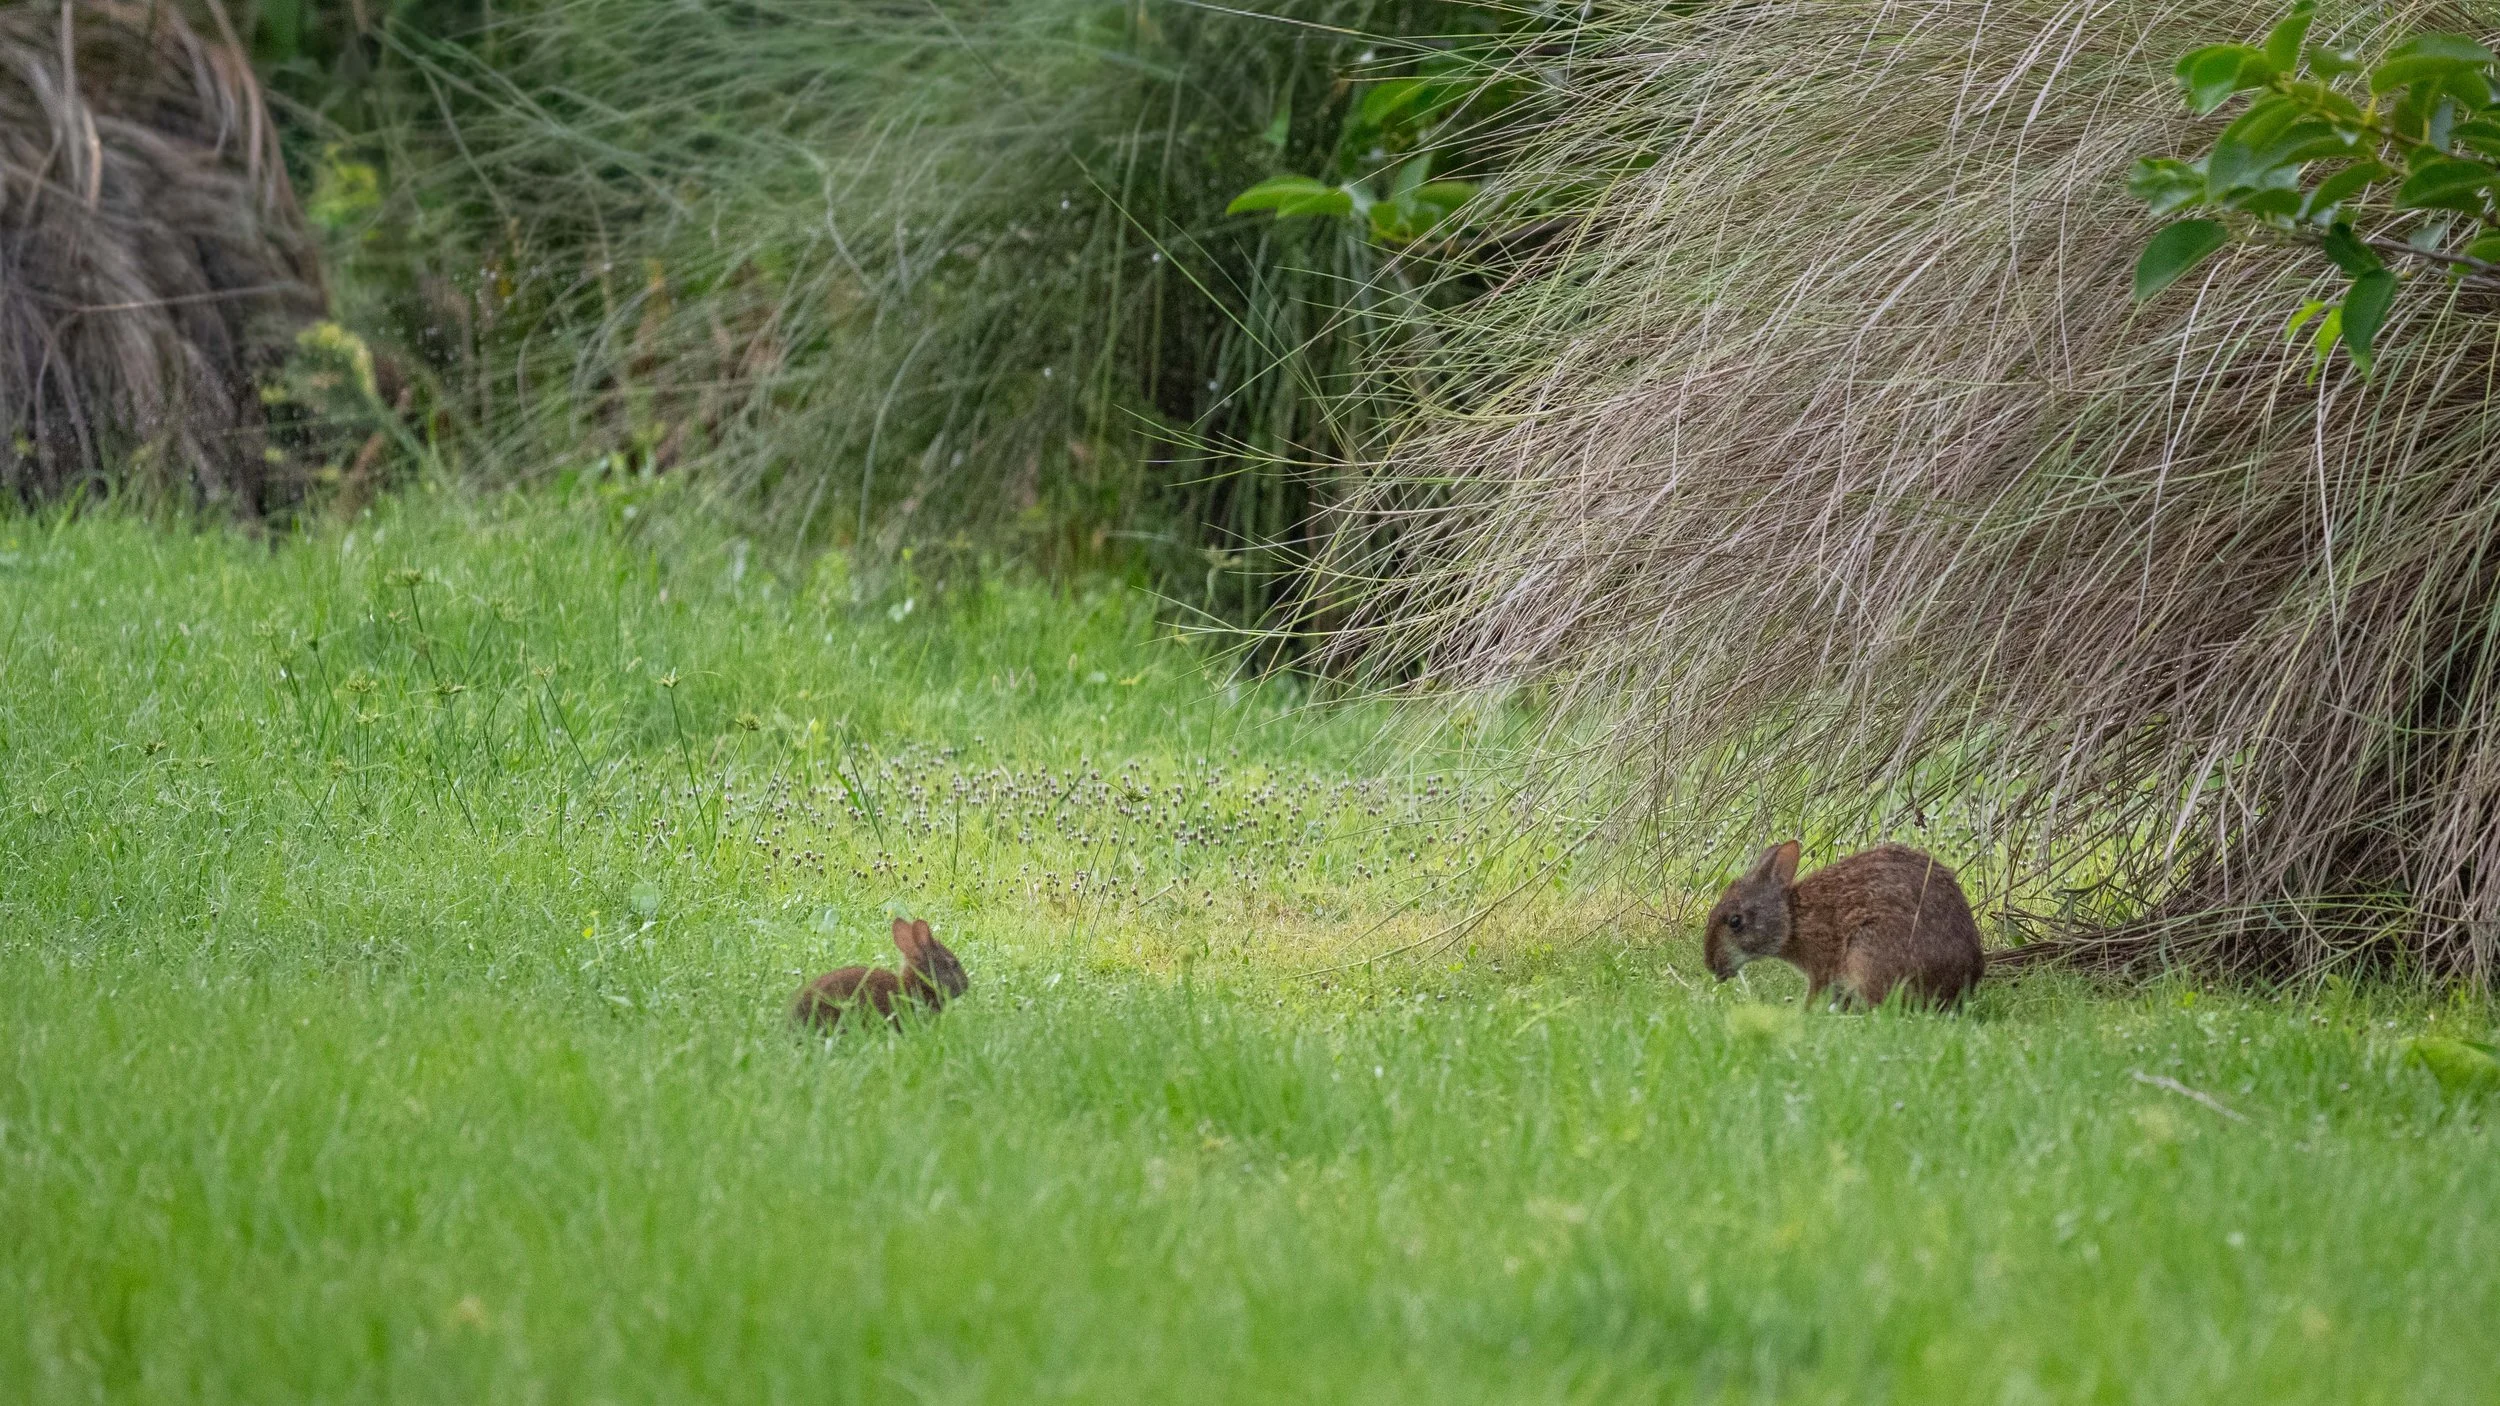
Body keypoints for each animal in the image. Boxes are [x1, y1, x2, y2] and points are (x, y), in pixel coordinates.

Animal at [1703, 841, 1985, 1008]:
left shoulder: (1821, 966)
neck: (1792, 919)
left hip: (1868, 951)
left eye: (1735, 921)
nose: (1711, 965)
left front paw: (1804, 1011)